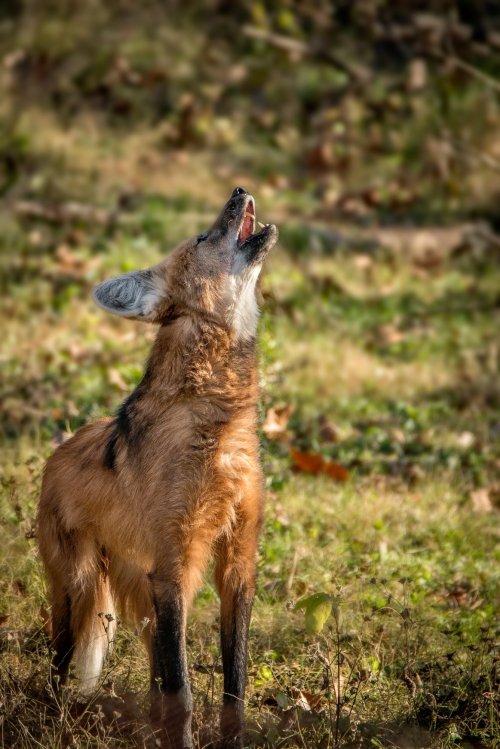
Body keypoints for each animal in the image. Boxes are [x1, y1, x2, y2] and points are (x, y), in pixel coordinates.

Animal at [37, 187, 278, 749]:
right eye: (203, 237)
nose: (238, 191)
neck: (220, 421)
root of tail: (58, 449)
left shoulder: (236, 562)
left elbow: (233, 685)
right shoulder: (175, 565)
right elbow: (184, 693)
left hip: (142, 589)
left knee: (154, 673)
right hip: (79, 583)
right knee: (61, 658)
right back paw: (53, 717)